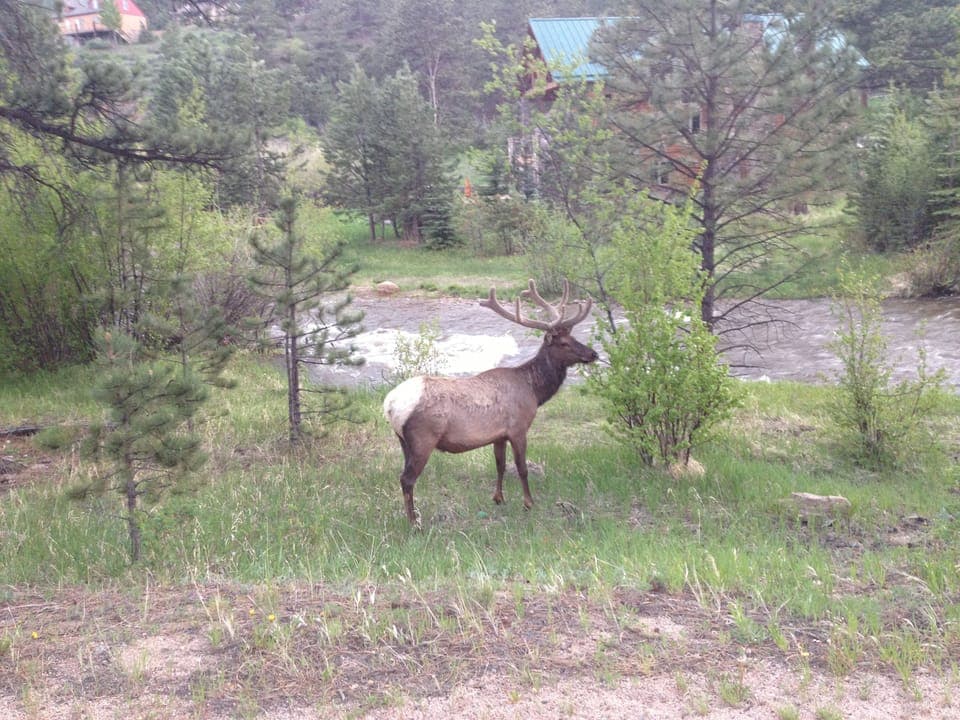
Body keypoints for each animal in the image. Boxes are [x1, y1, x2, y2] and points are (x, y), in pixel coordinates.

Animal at [383, 279, 598, 525]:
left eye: (574, 337)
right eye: (563, 343)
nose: (593, 354)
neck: (533, 391)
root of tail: (389, 405)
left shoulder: (499, 435)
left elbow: (500, 466)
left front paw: (498, 499)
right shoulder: (518, 428)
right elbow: (522, 468)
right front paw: (529, 503)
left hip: (402, 440)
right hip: (423, 438)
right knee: (407, 479)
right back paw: (414, 522)